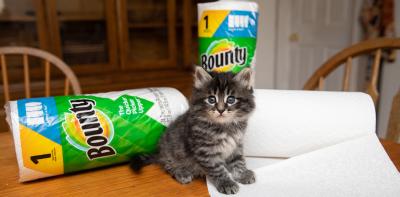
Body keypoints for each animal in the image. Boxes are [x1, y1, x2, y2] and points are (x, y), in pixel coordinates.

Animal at [132, 67, 256, 195]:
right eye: (211, 99)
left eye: (231, 99)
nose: (220, 110)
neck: (225, 126)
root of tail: (160, 153)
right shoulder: (205, 151)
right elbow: (218, 170)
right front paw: (226, 183)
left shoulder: (236, 144)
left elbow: (238, 161)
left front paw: (242, 174)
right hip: (170, 152)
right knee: (168, 165)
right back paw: (181, 173)